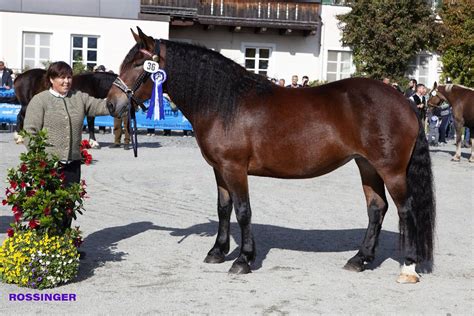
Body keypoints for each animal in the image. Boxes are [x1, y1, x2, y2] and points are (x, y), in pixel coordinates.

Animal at [105, 27, 436, 284]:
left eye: (139, 63)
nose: (111, 104)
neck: (225, 103)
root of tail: (405, 102)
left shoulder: (234, 168)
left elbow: (243, 211)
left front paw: (243, 260)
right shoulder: (219, 169)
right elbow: (223, 208)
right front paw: (217, 252)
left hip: (391, 170)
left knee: (405, 210)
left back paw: (408, 266)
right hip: (366, 165)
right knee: (377, 209)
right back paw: (359, 259)